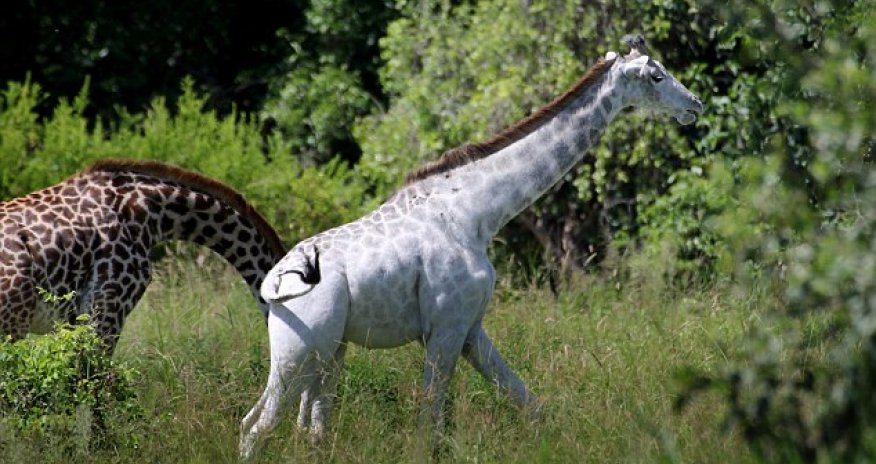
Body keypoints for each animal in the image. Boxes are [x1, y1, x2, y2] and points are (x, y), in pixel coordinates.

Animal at [239, 35, 705, 458]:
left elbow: (529, 403)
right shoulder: (445, 327)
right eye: (657, 75)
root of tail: (272, 284)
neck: (476, 211)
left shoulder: (470, 327)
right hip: (300, 352)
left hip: (329, 353)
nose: (696, 105)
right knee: (257, 427)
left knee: (299, 428)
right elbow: (428, 425)